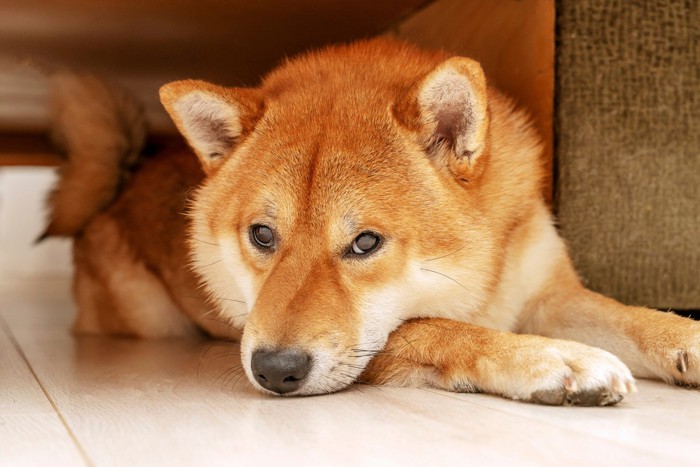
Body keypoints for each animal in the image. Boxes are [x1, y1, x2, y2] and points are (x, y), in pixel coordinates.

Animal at [42, 38, 696, 406]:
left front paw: (684, 338)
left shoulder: (549, 294)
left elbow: (631, 316)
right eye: (261, 235)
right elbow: (442, 329)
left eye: (365, 242)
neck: (484, 277)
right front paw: (551, 360)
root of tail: (122, 182)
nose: (274, 370)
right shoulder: (382, 340)